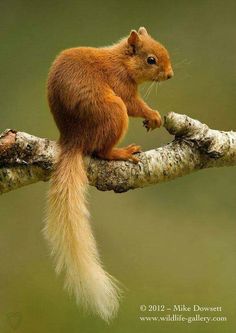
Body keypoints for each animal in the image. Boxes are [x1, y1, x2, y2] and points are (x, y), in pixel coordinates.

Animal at [44, 27, 173, 320]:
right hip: (114, 111)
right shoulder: (122, 86)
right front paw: (153, 115)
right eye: (150, 60)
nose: (170, 75)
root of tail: (72, 139)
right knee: (101, 151)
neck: (121, 61)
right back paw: (122, 152)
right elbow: (134, 103)